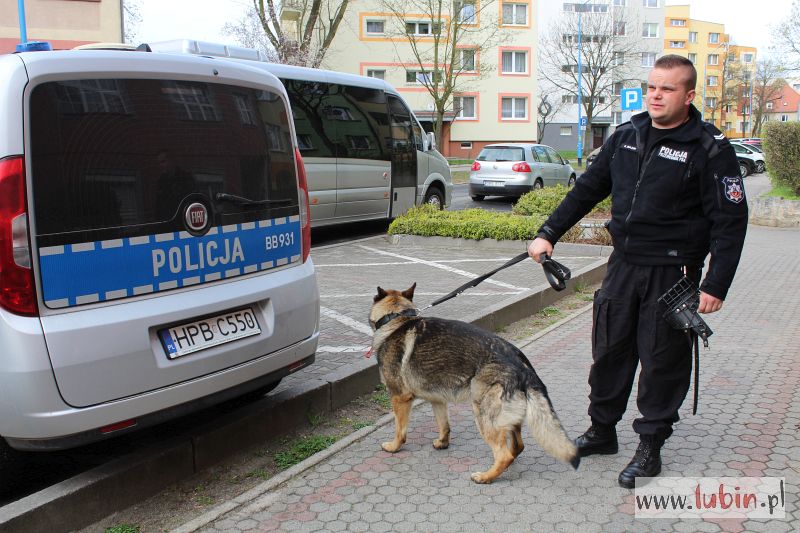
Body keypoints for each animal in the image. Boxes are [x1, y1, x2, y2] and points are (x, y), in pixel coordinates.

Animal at [368, 282, 580, 482]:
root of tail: (522, 365)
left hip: (483, 415)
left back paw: (485, 477)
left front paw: (394, 447)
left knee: (504, 454)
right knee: (517, 447)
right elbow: (444, 425)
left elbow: (400, 430)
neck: (397, 318)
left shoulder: (400, 398)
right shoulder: (438, 400)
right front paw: (442, 443)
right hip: (507, 419)